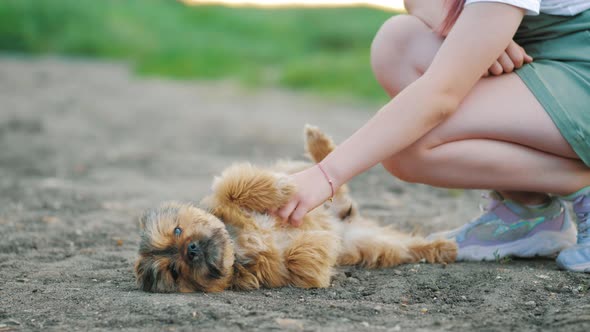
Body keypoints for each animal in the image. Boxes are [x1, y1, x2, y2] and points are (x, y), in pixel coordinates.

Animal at [135, 126, 458, 292]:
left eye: (178, 230)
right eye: (175, 271)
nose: (190, 250)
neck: (239, 242)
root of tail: (348, 218)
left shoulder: (225, 196)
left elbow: (234, 185)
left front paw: (282, 190)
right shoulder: (276, 272)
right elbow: (300, 262)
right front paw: (317, 247)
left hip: (310, 178)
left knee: (328, 171)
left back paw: (316, 141)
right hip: (372, 245)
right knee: (404, 246)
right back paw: (442, 247)